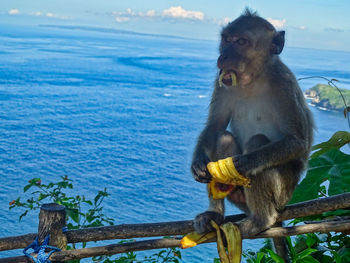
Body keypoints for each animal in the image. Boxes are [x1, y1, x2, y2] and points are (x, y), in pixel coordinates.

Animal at [191, 8, 314, 262]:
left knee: (258, 143)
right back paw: (213, 216)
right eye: (226, 39)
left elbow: (297, 141)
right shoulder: (222, 81)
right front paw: (197, 163)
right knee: (223, 139)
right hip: (239, 197)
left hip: (283, 193)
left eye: (241, 42)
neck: (254, 80)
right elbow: (214, 127)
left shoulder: (284, 84)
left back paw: (260, 220)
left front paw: (245, 163)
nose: (223, 57)